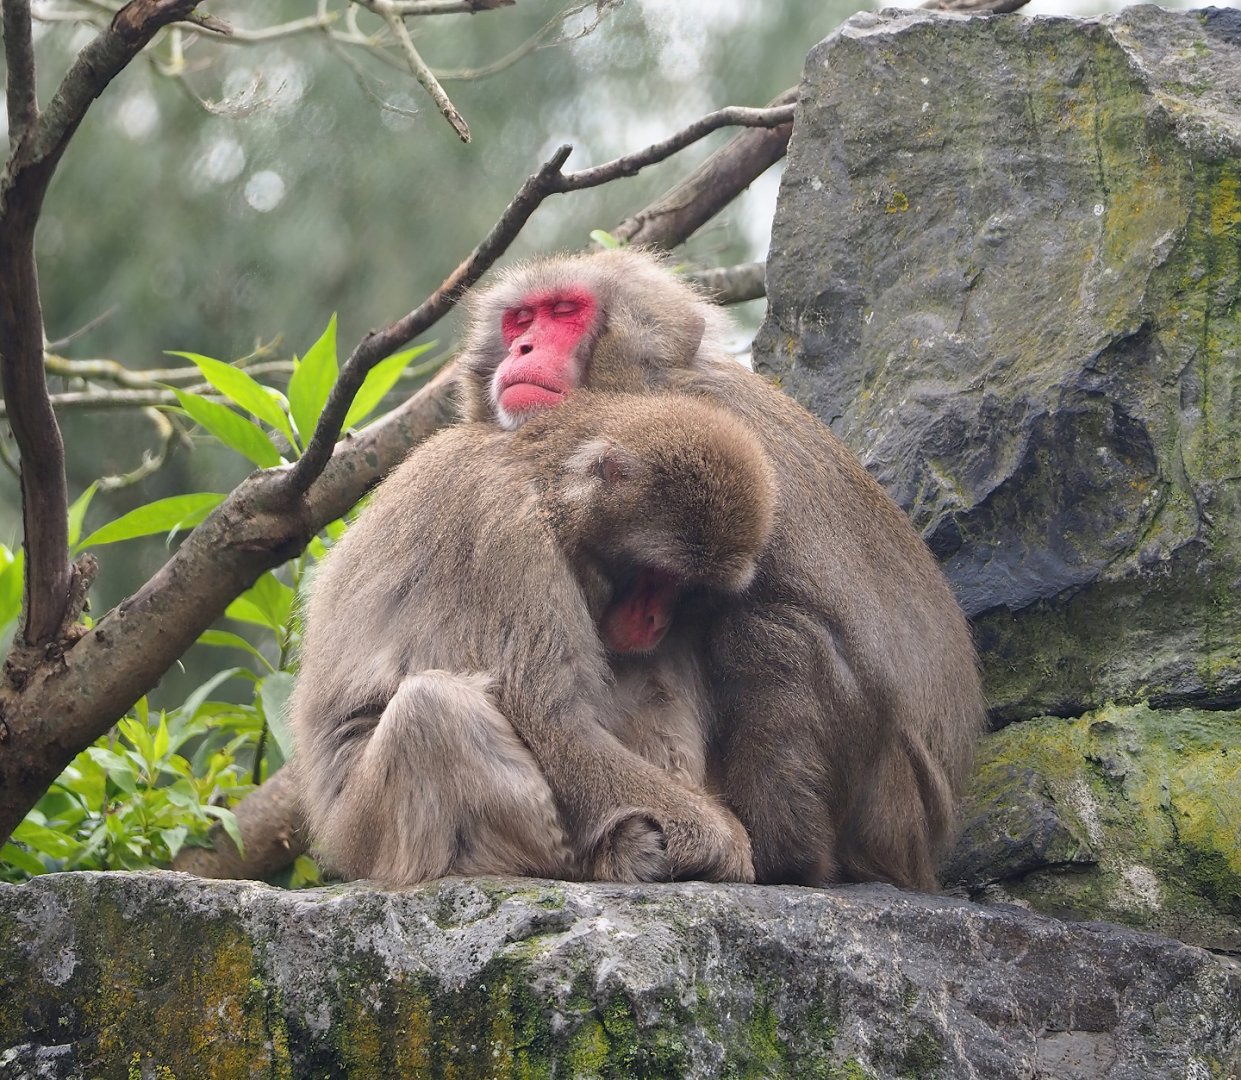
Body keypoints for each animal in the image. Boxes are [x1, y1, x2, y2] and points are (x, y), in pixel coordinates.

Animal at [291, 389, 776, 886]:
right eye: (655, 573)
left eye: (688, 589)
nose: (655, 618)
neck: (543, 481)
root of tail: (339, 843)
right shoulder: (506, 534)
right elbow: (552, 720)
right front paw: (721, 841)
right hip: (369, 831)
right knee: (430, 709)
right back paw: (590, 859)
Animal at [454, 247, 986, 892]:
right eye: (520, 320)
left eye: (563, 312)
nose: (523, 348)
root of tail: (926, 853)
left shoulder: (714, 441)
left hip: (889, 811)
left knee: (769, 637)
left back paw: (791, 860)